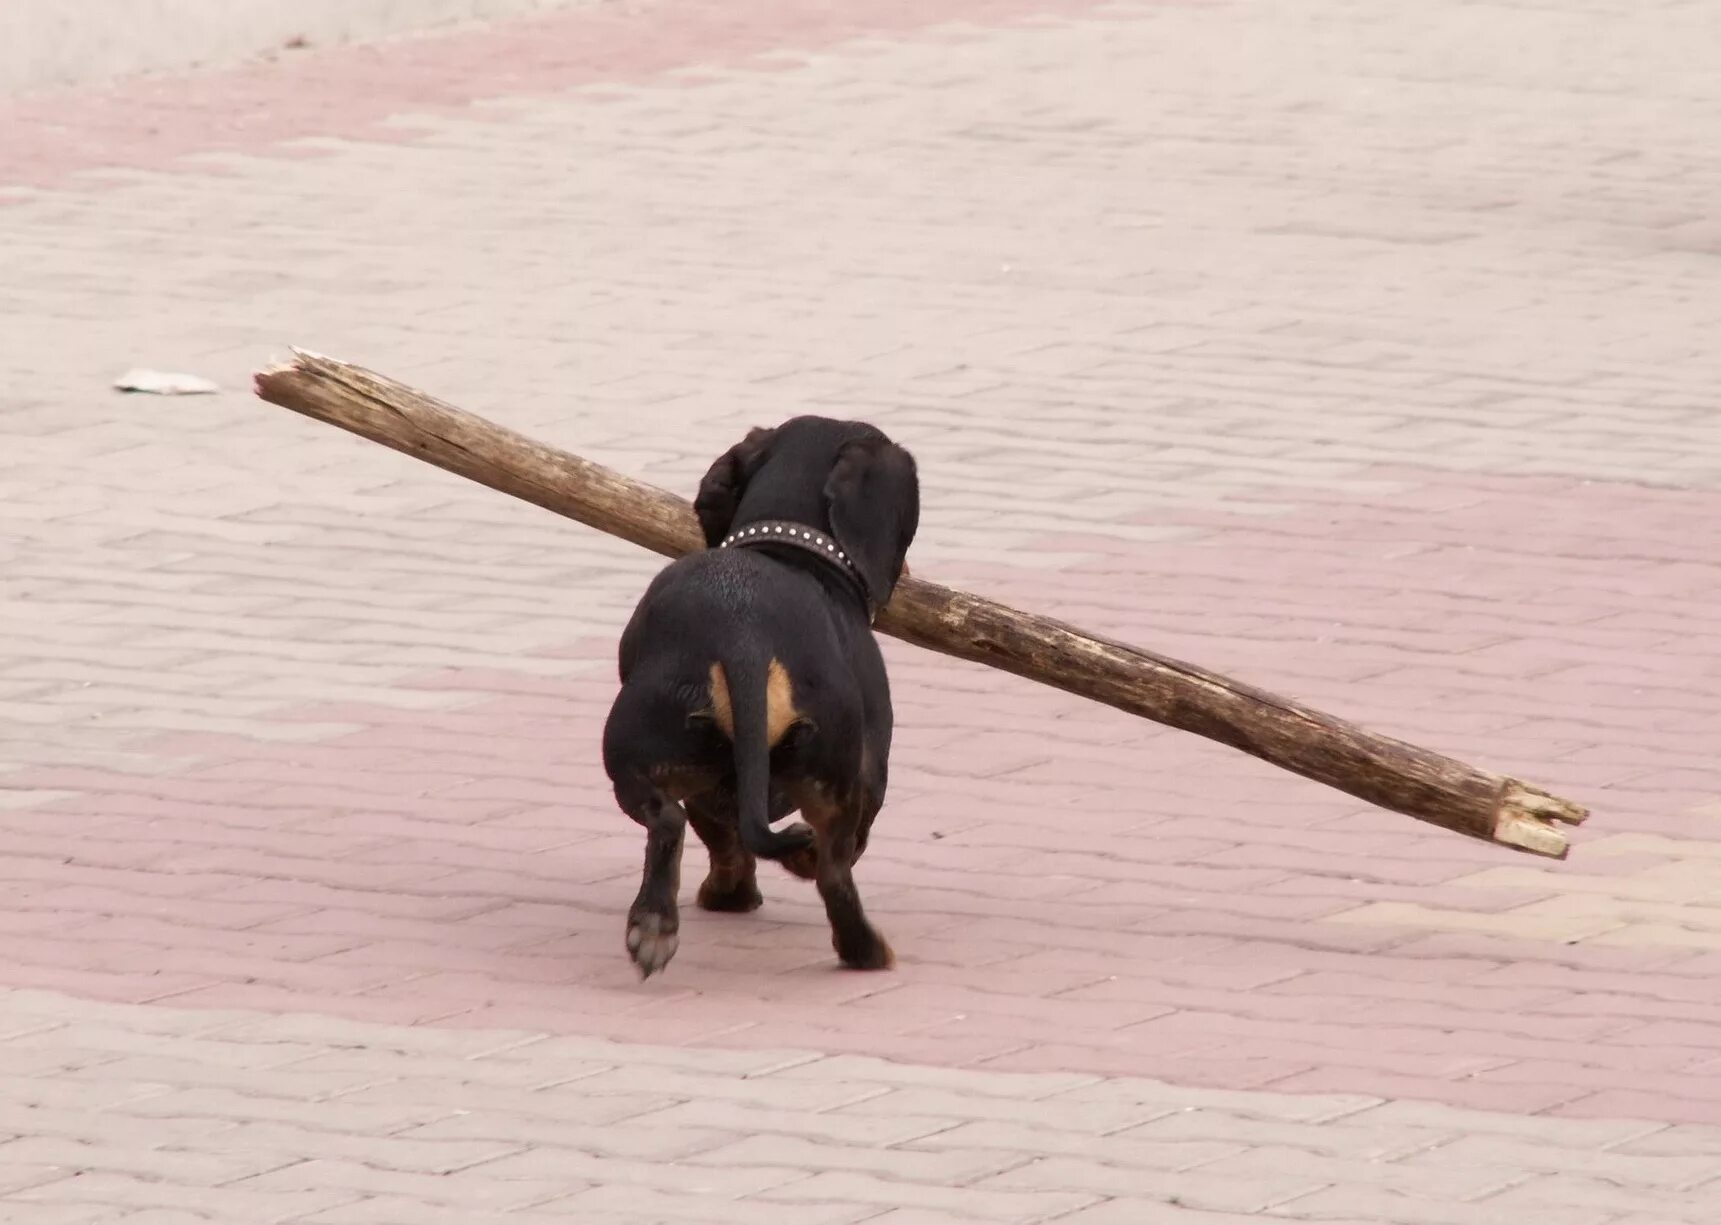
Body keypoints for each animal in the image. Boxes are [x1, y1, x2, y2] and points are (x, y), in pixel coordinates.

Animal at [605, 416, 929, 984]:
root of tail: (744, 638)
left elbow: (725, 838)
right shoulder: (873, 776)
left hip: (642, 748)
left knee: (671, 820)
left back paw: (655, 925)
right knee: (833, 872)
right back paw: (863, 949)